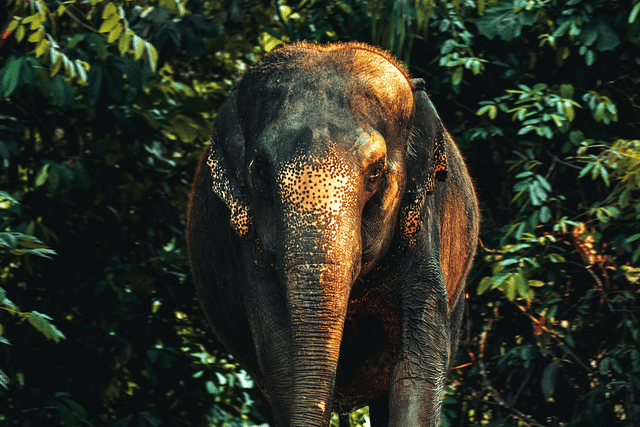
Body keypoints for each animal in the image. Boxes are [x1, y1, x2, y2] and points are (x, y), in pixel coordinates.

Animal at [188, 42, 478, 427]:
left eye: (375, 172)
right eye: (261, 171)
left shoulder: (421, 230)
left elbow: (418, 364)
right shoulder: (247, 243)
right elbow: (281, 362)